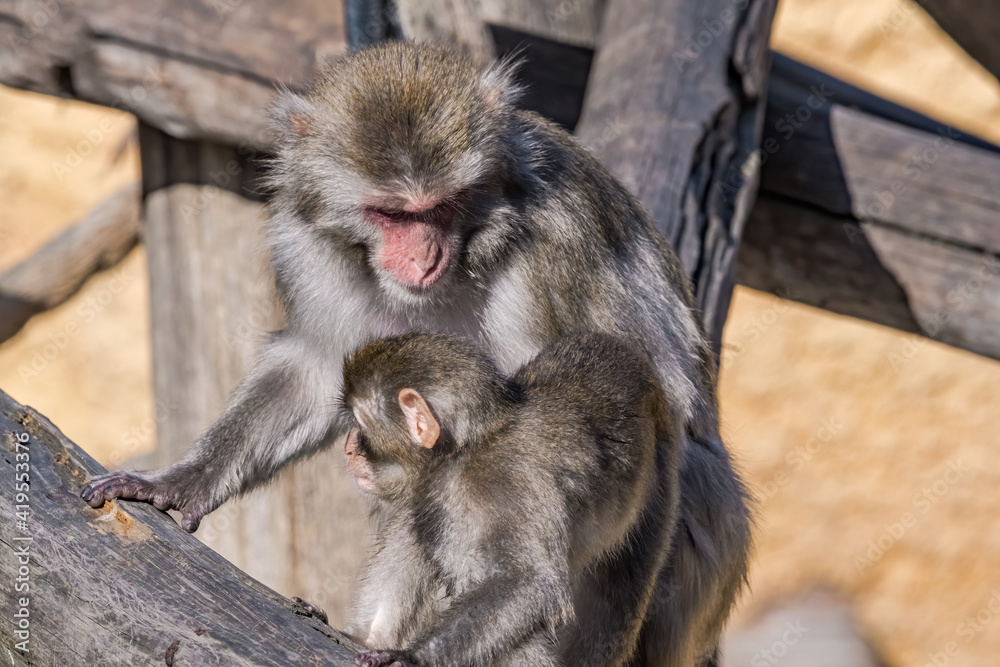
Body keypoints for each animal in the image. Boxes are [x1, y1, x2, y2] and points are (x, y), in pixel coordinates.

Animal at [341, 331, 681, 667]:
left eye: (360, 424)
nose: (348, 448)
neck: (467, 448)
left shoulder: (504, 482)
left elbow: (530, 585)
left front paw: (413, 657)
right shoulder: (445, 484)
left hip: (661, 487)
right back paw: (371, 635)